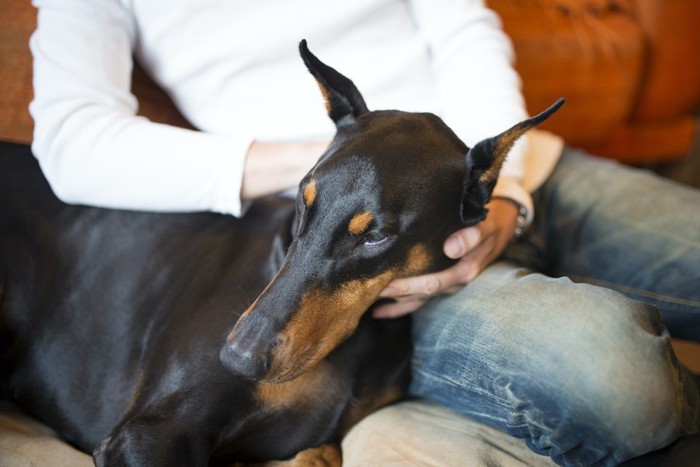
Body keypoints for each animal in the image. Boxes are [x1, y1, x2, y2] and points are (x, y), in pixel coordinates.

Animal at [0, 42, 560, 466]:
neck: (360, 339)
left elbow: (322, 451)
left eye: (375, 237)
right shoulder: (146, 435)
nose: (237, 357)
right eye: (302, 200)